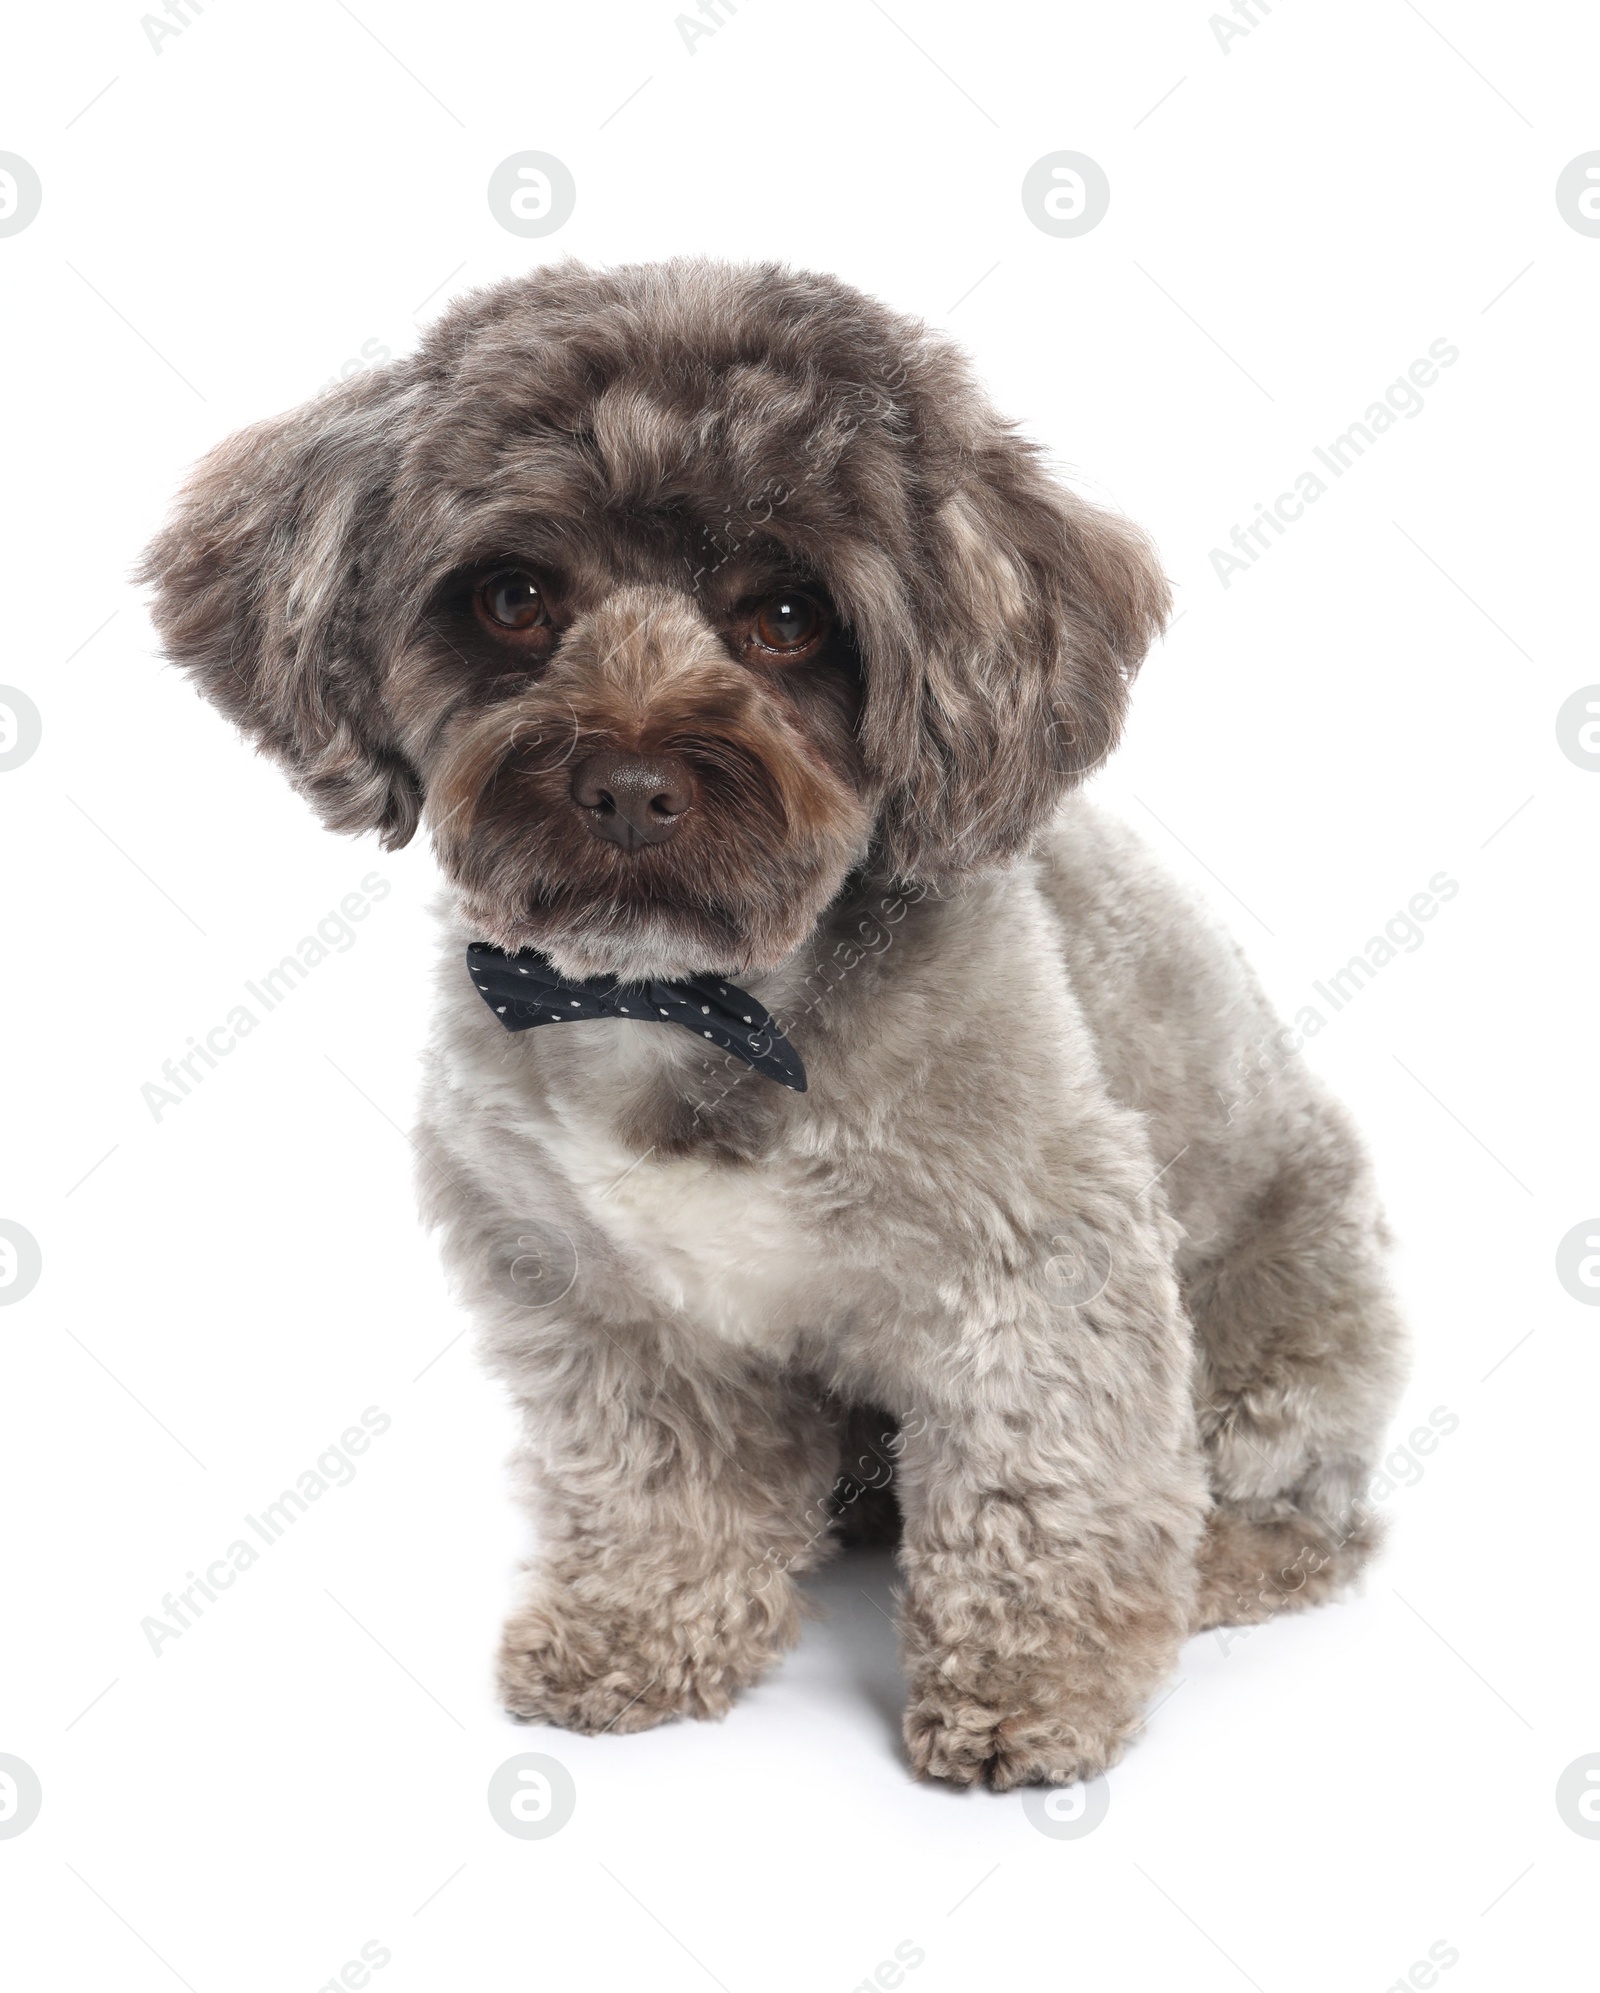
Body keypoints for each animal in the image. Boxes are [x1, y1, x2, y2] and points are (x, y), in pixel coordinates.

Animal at [143, 253, 1410, 1793]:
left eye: (790, 618)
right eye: (513, 595)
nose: (630, 784)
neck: (687, 995)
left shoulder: (1038, 1265)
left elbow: (1044, 1486)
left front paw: (1031, 1686)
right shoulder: (602, 1297)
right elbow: (659, 1490)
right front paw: (639, 1633)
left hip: (1288, 1341)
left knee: (1302, 1510)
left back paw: (1211, 1565)